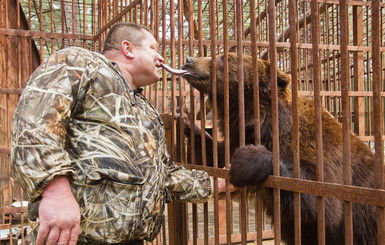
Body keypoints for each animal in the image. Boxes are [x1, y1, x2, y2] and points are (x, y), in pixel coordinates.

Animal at [179, 53, 376, 245]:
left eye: (226, 58)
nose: (189, 60)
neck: (261, 123)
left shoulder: (315, 149)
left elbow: (322, 197)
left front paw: (245, 160)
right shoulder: (238, 137)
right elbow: (214, 157)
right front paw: (187, 121)